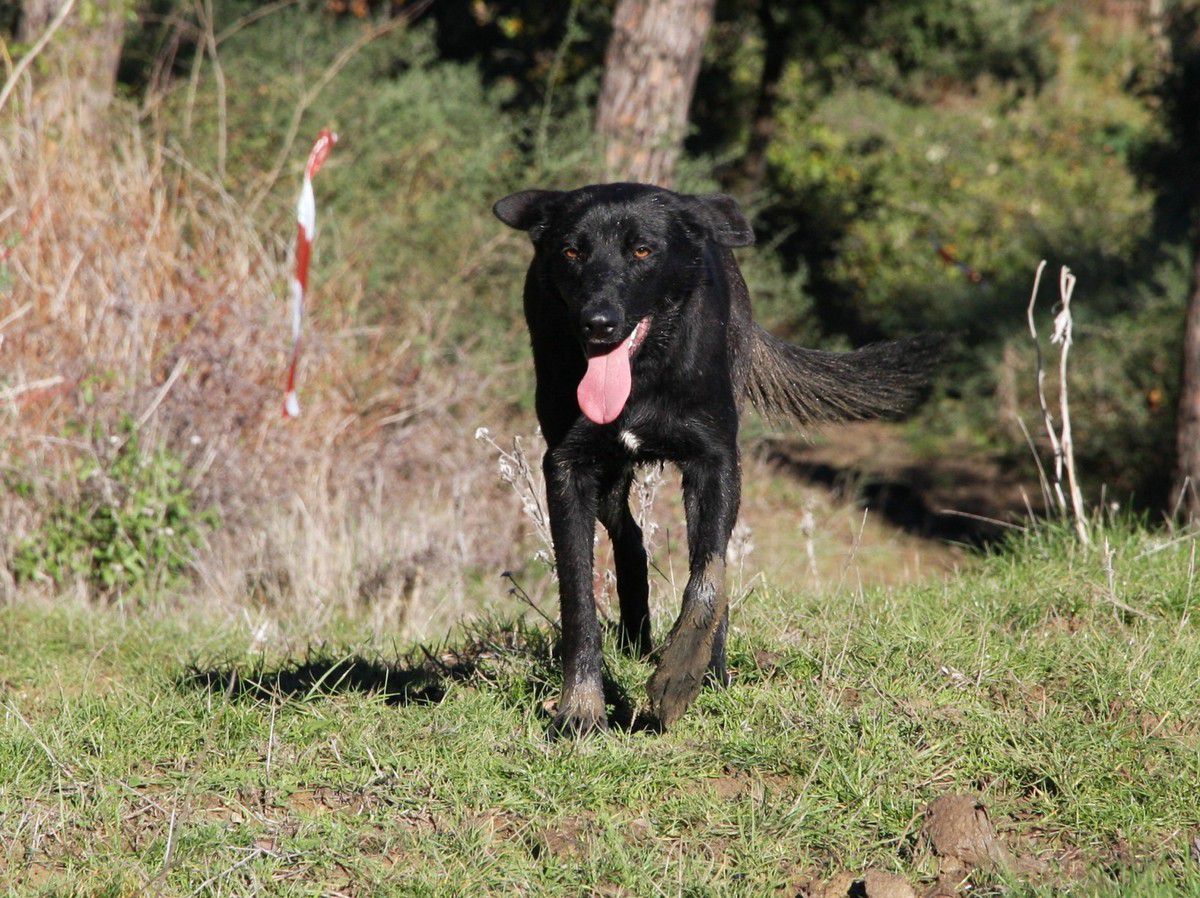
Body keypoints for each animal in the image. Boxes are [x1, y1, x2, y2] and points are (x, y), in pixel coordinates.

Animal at [492, 183, 931, 734]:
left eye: (642, 250)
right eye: (572, 251)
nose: (597, 323)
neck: (645, 375)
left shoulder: (716, 461)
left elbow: (709, 576)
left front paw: (680, 674)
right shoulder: (567, 467)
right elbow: (577, 595)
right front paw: (582, 708)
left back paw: (708, 669)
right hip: (608, 478)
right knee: (630, 539)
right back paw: (637, 639)